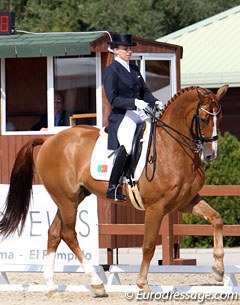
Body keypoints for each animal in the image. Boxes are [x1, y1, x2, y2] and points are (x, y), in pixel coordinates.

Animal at [0, 84, 228, 294]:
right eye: (204, 119)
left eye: (220, 117)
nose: (211, 155)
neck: (172, 148)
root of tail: (49, 139)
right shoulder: (156, 207)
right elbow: (148, 246)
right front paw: (143, 284)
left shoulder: (185, 202)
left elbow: (216, 219)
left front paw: (218, 270)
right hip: (66, 199)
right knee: (68, 233)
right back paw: (96, 283)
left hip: (72, 198)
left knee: (55, 232)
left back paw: (51, 285)